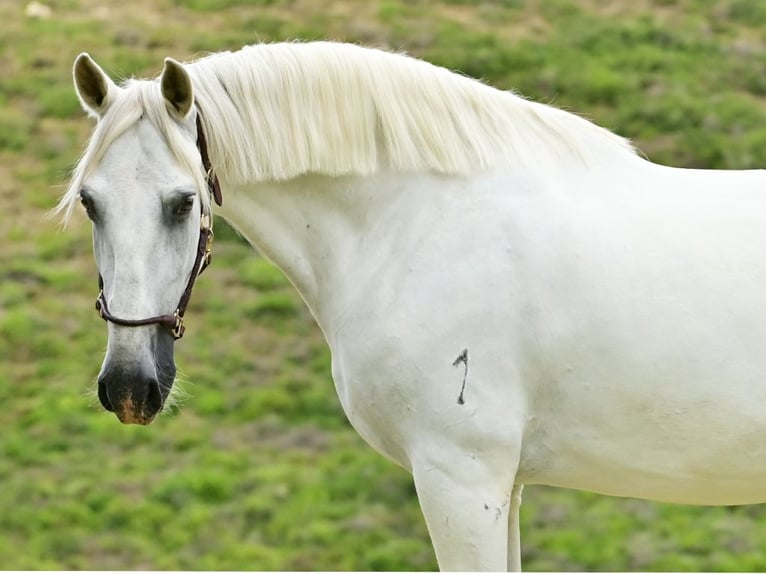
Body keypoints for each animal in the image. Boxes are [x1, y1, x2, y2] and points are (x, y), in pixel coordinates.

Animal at [60, 40, 766, 572]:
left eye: (182, 202)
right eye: (91, 202)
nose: (129, 386)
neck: (417, 222)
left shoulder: (461, 479)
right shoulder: (502, 487)